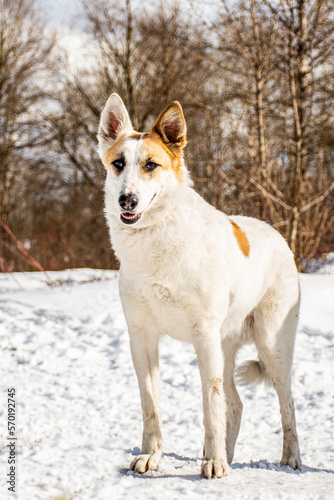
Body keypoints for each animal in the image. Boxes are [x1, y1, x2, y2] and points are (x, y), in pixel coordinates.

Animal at [98, 92, 302, 478]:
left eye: (151, 165)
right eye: (118, 163)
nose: (126, 201)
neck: (156, 240)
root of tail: (279, 236)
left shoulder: (204, 336)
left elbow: (210, 407)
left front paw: (214, 462)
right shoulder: (141, 338)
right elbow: (151, 406)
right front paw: (151, 456)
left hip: (272, 346)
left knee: (285, 404)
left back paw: (289, 458)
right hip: (225, 348)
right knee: (235, 404)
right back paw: (228, 455)